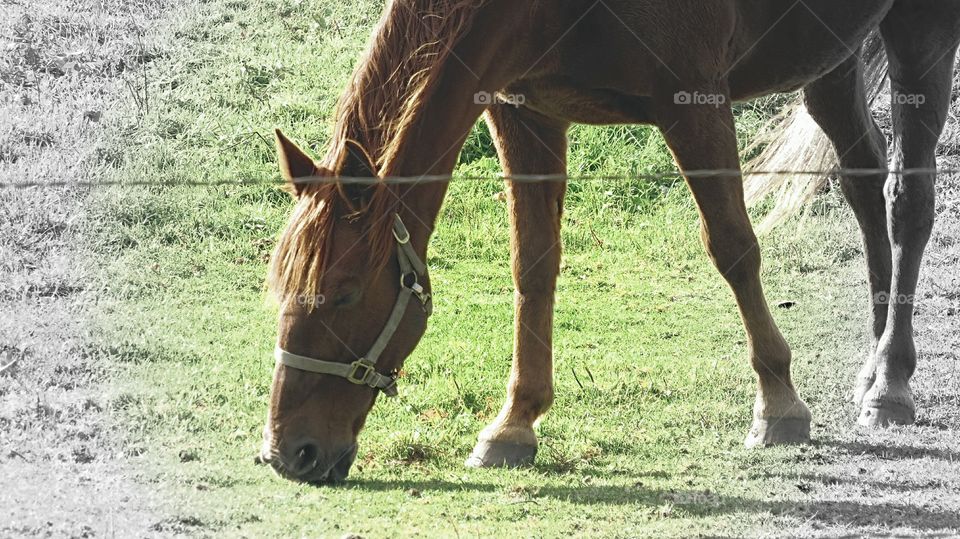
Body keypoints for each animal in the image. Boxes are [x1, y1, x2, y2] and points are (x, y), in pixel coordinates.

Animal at [257, 0, 960, 483]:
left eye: (345, 295)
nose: (289, 452)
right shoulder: (524, 111)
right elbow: (533, 265)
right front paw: (515, 422)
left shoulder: (692, 100)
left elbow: (733, 246)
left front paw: (779, 403)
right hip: (830, 56)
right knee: (866, 184)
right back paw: (873, 366)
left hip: (920, 30)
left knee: (907, 203)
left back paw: (892, 381)